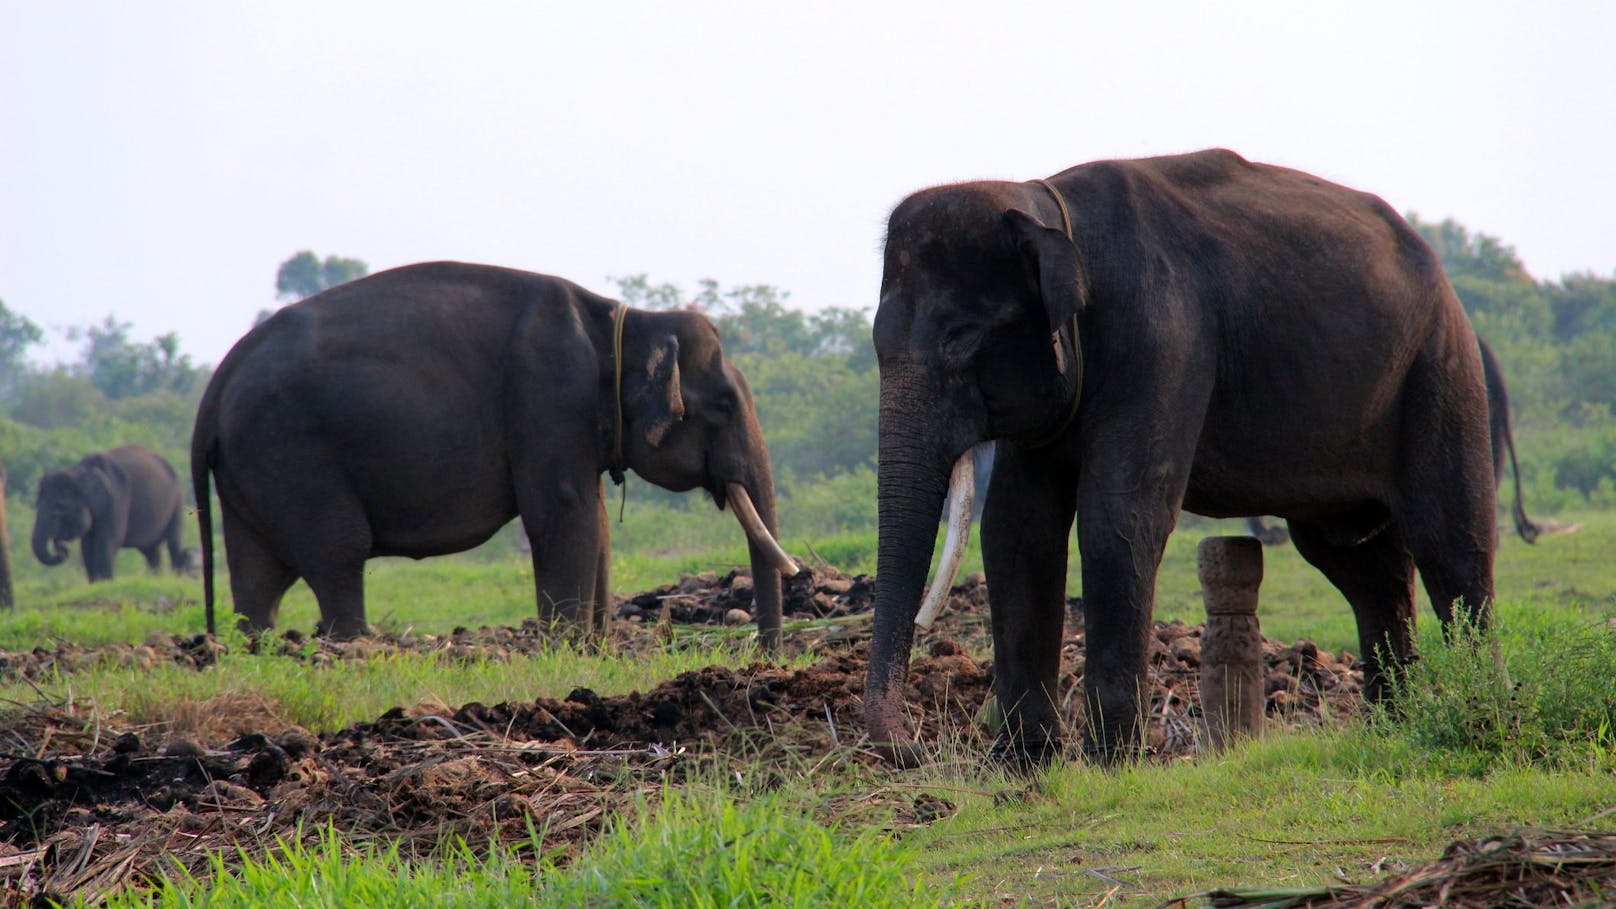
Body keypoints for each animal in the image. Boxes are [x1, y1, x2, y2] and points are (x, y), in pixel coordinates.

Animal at [32, 443, 188, 579]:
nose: (61, 547)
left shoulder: (117, 500)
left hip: (177, 501)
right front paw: (95, 583)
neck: (79, 472)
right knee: (151, 551)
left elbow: (108, 541)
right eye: (36, 504)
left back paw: (176, 577)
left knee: (173, 542)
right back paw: (155, 578)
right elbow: (87, 546)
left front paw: (105, 581)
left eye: (60, 506)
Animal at [192, 262, 798, 640]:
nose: (766, 653)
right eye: (724, 404)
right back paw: (355, 646)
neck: (621, 318)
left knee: (257, 579)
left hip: (250, 474)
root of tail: (215, 388)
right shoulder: (549, 394)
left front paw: (596, 647)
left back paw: (257, 648)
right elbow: (566, 512)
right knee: (338, 552)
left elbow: (597, 521)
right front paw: (568, 648)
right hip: (290, 455)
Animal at [872, 148, 1499, 763]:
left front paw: (1111, 759)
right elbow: (1015, 527)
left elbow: (1118, 518)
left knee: (1450, 544)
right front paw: (1024, 758)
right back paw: (1390, 727)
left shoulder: (1165, 339)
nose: (913, 748)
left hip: (1441, 368)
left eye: (959, 336)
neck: (1047, 204)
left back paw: (1479, 710)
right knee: (1361, 564)